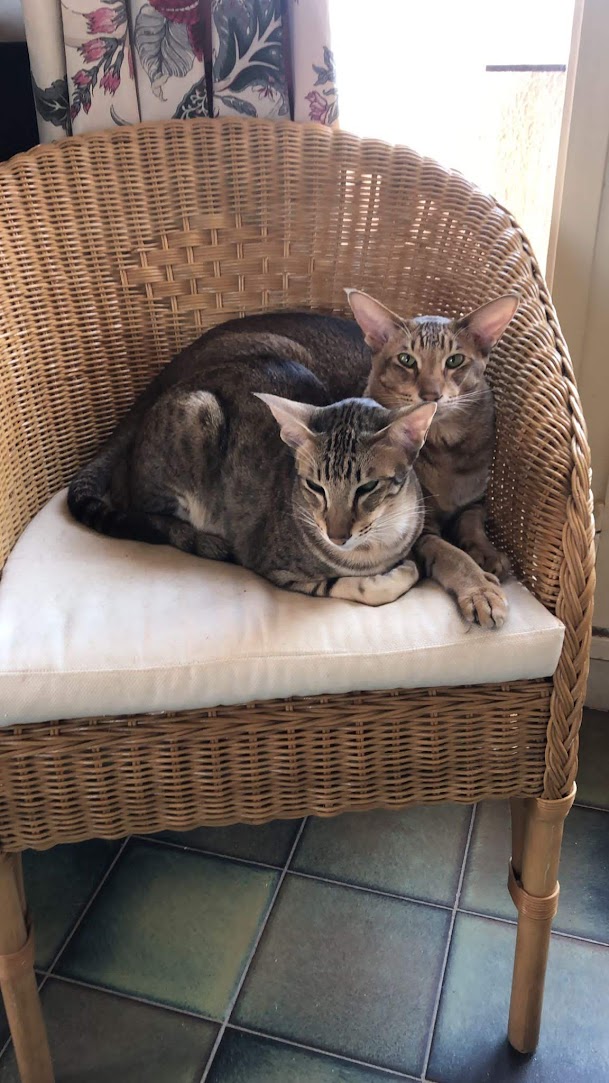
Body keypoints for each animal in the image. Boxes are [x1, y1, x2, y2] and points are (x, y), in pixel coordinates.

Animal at [69, 333, 436, 605]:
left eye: (367, 488)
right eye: (316, 487)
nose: (336, 535)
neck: (379, 545)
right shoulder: (277, 568)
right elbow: (352, 585)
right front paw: (397, 574)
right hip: (198, 413)